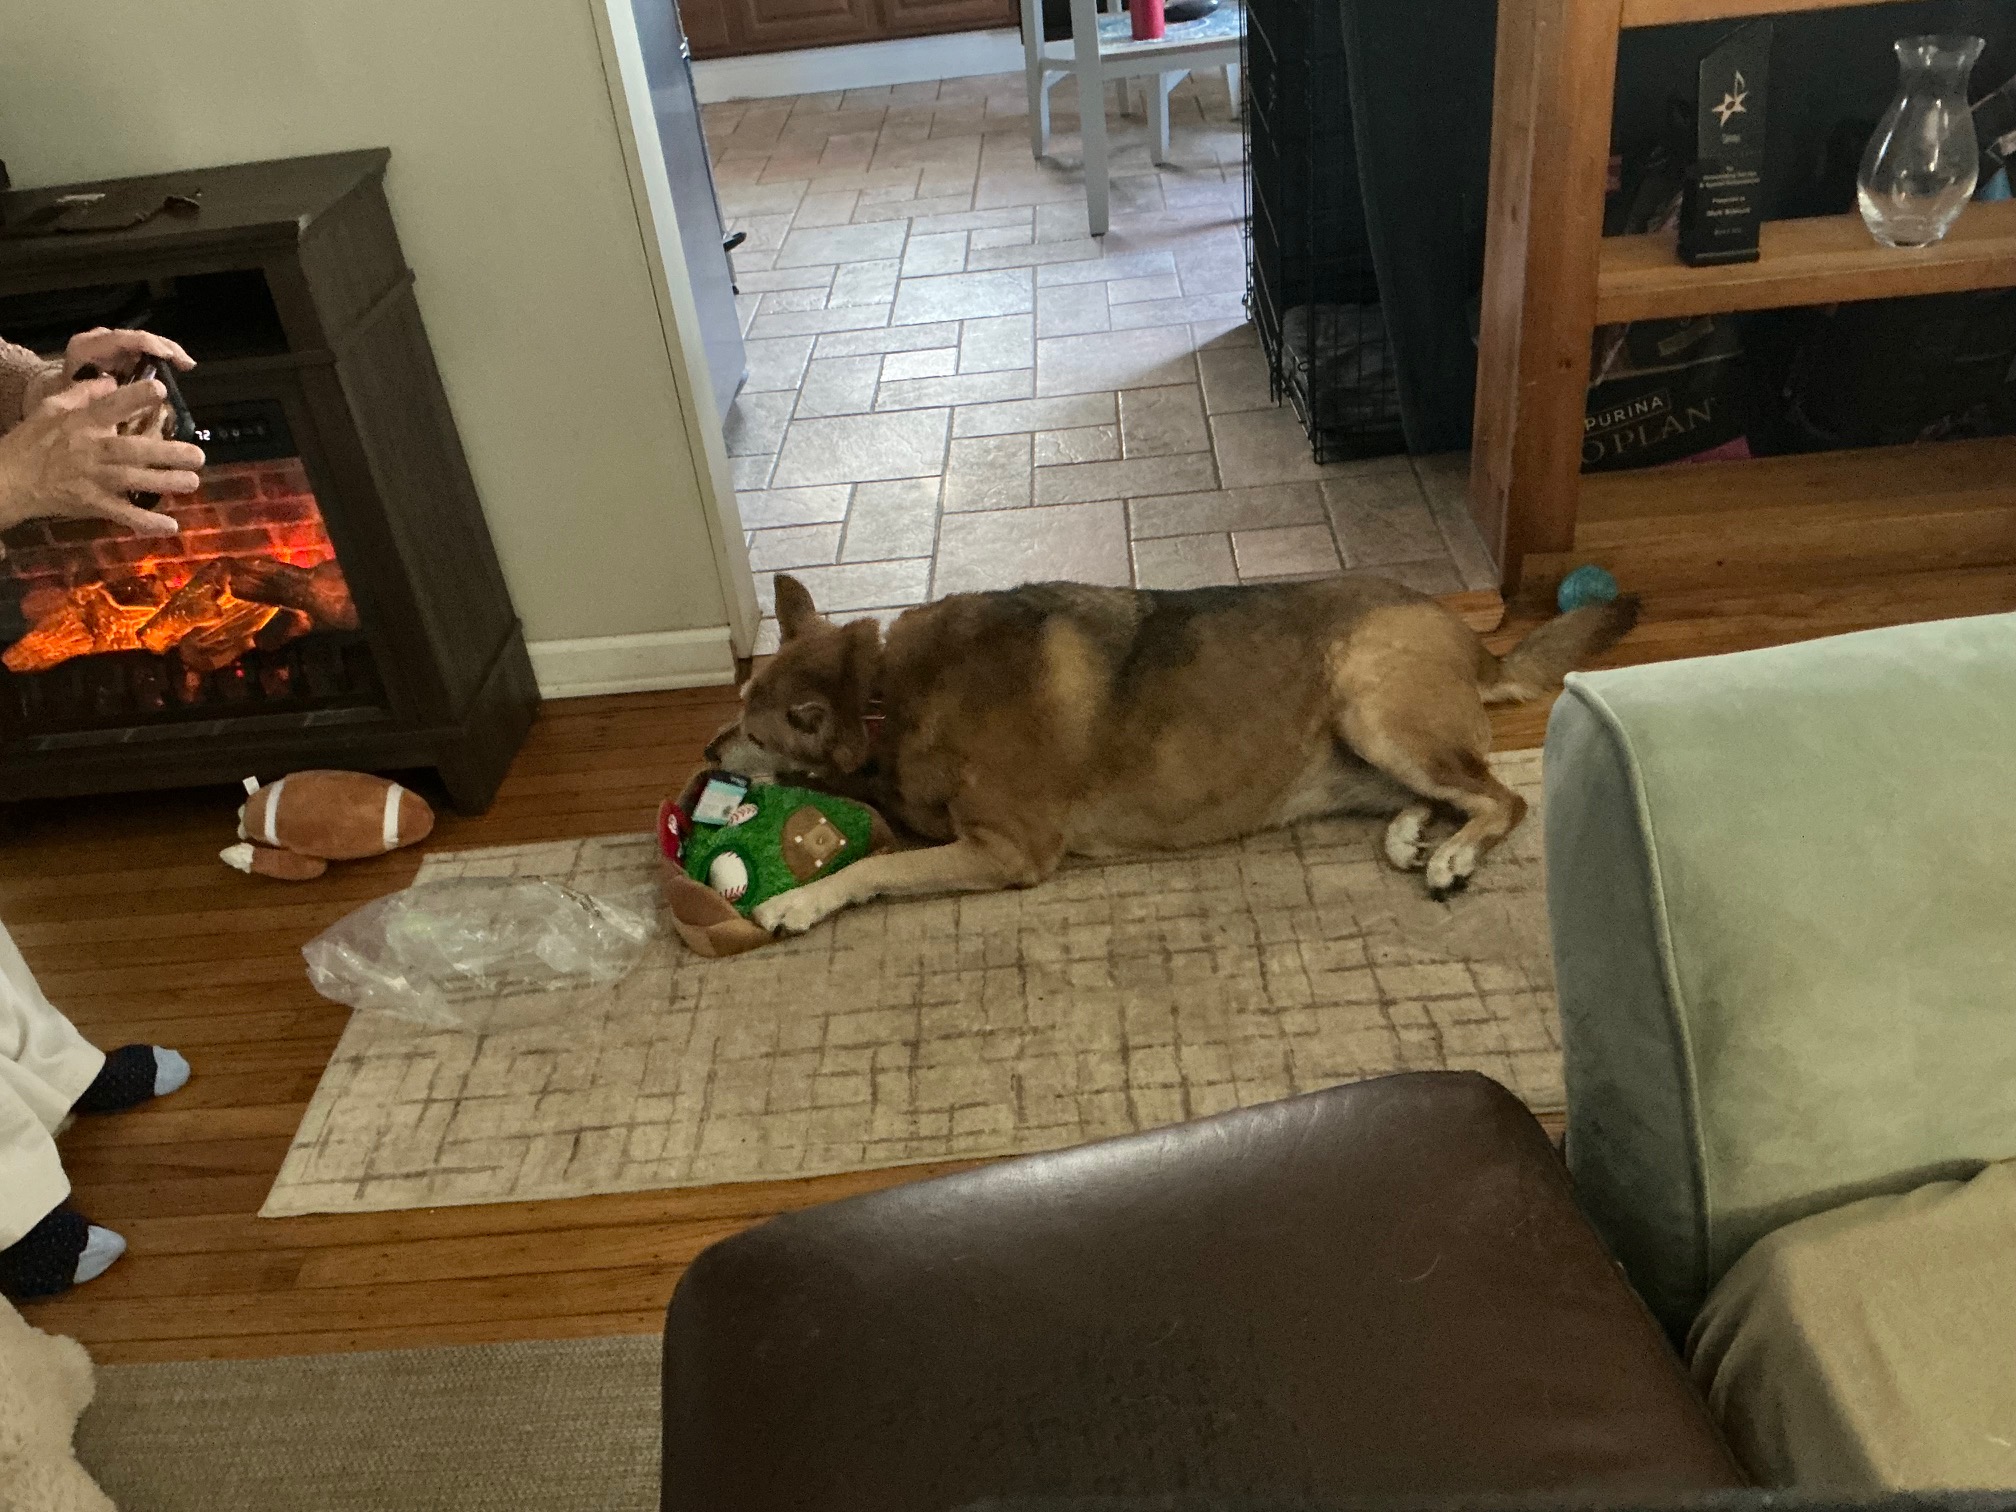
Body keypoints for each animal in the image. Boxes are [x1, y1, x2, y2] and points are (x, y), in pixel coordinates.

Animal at [707, 573, 1638, 938]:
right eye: (737, 709)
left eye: (757, 729)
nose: (711, 748)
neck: (889, 695)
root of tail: (1472, 637)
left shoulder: (1008, 851)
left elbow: (873, 868)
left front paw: (798, 902)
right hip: (1355, 748)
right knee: (1451, 790)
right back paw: (1414, 836)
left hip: (1372, 703)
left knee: (1502, 798)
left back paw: (1451, 857)